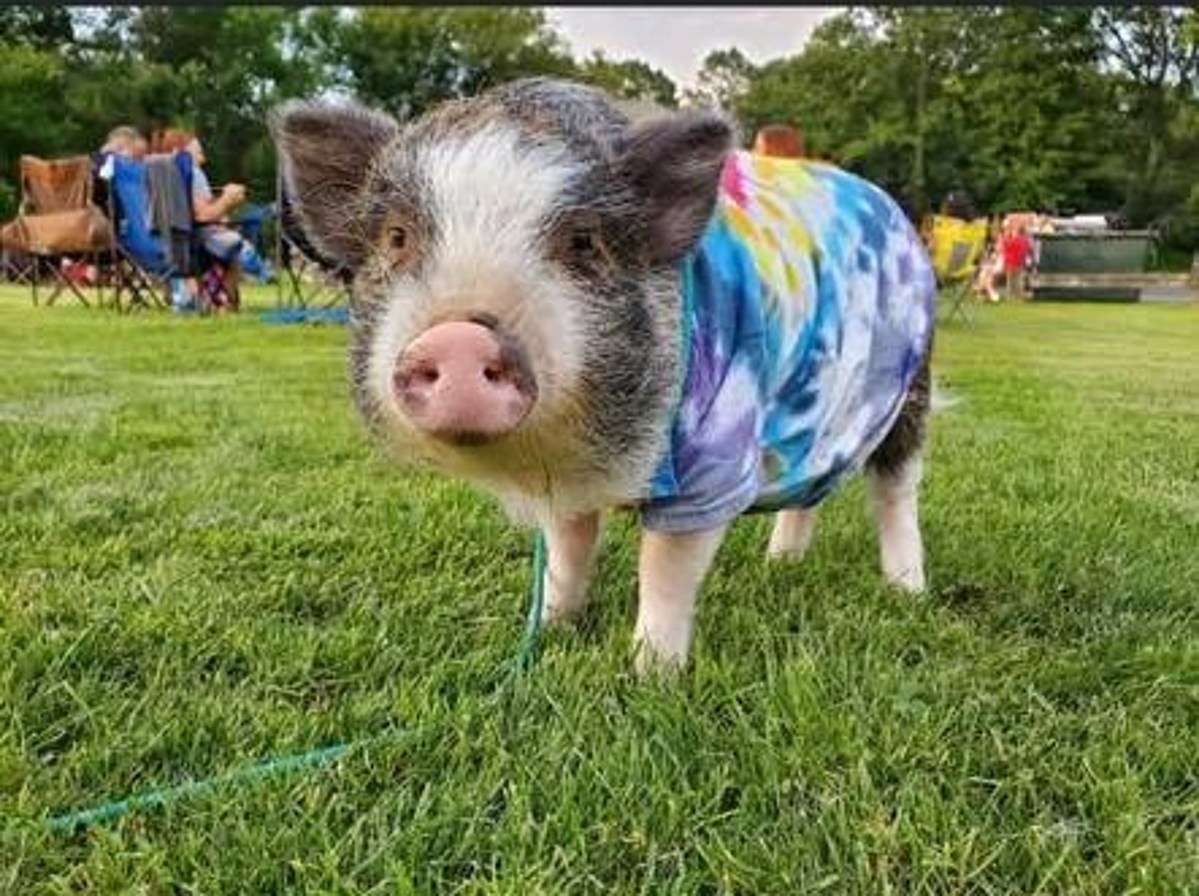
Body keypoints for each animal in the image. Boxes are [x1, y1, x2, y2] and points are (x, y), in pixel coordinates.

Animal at [272, 78, 935, 671]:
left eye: (583, 242)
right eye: (396, 237)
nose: (460, 335)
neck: (588, 453)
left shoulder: (712, 461)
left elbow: (665, 569)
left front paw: (650, 675)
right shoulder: (564, 482)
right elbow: (566, 553)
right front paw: (549, 629)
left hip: (908, 389)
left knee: (895, 490)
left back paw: (907, 590)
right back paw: (782, 565)